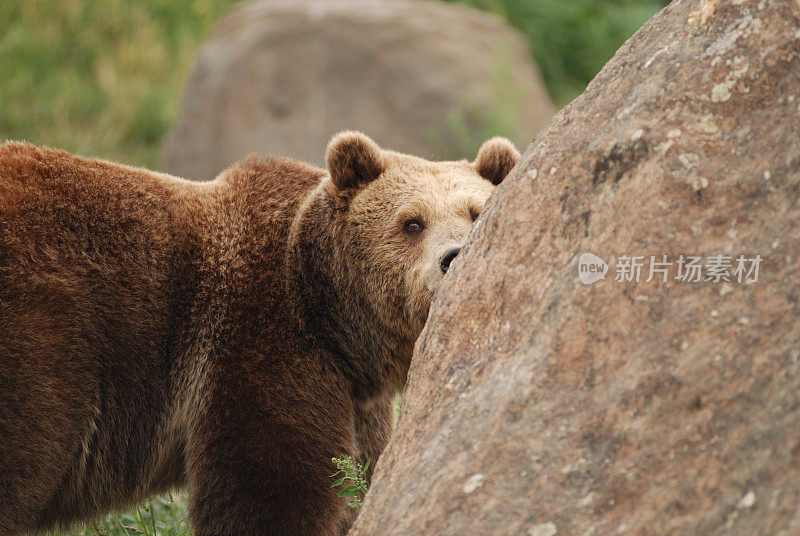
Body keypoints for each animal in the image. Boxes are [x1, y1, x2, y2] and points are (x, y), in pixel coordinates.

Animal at [0, 131, 520, 536]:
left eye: (477, 212)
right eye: (412, 222)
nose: (453, 256)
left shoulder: (356, 402)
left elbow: (362, 481)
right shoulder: (259, 340)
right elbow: (270, 489)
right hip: (45, 341)